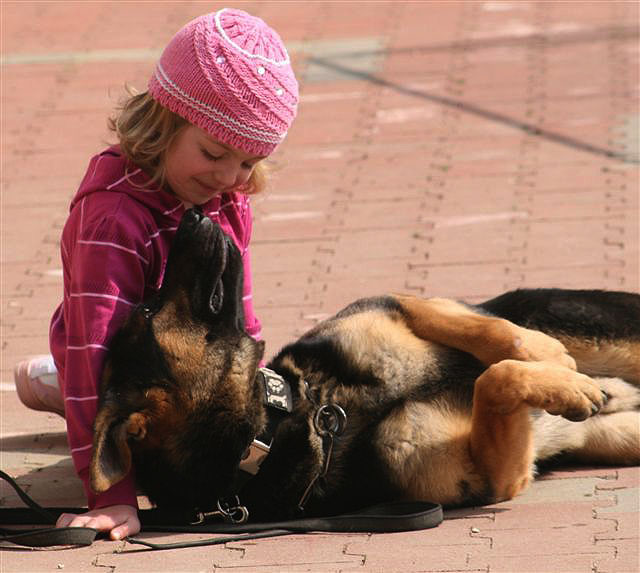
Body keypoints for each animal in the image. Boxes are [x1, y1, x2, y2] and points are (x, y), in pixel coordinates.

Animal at [90, 208, 640, 520]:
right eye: (146, 309)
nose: (191, 215)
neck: (313, 409)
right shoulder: (496, 475)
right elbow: (494, 380)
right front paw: (571, 386)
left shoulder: (393, 304)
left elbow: (496, 339)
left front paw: (555, 363)